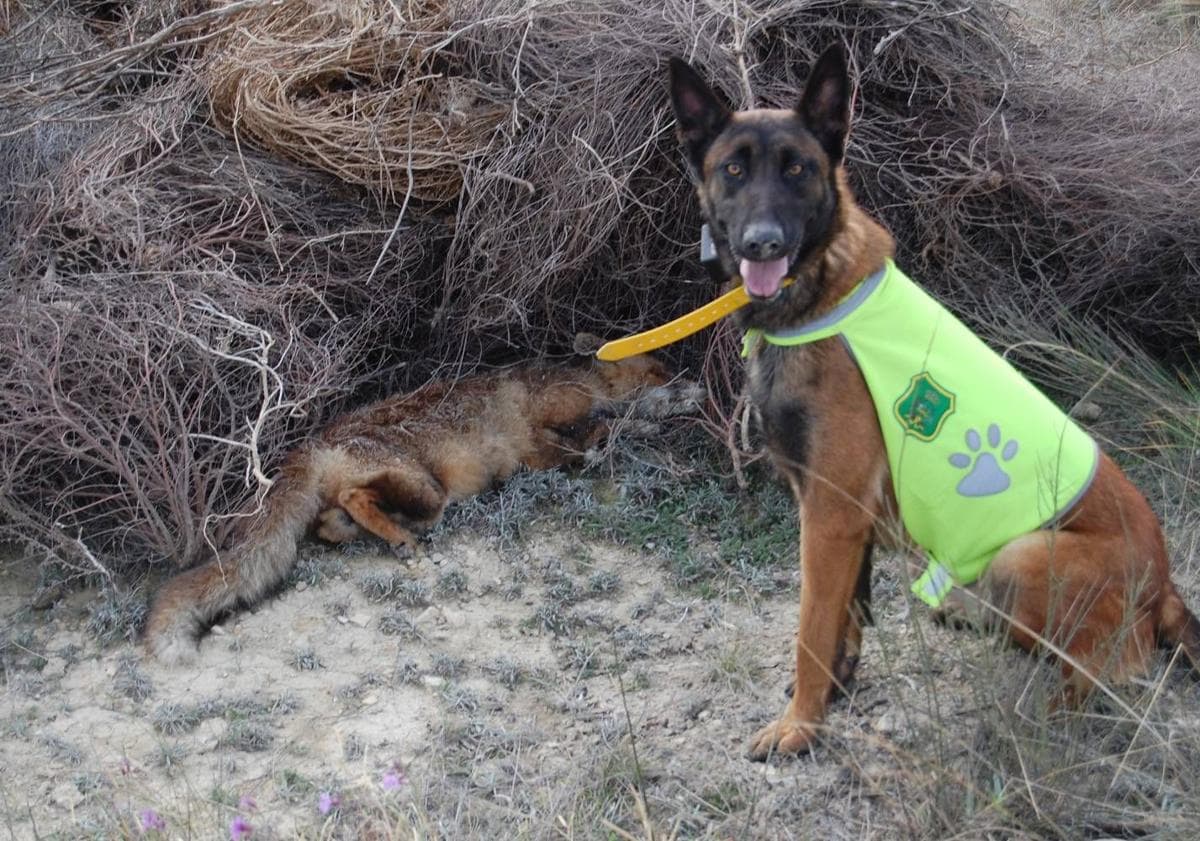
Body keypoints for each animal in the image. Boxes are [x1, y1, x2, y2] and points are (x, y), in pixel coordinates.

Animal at [142, 350, 686, 667]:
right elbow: (591, 436)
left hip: (394, 493)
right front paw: (620, 433)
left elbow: (601, 433)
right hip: (426, 489)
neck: (582, 384)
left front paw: (631, 430)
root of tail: (314, 443)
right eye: (661, 369)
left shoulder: (540, 445)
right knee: (361, 501)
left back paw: (369, 533)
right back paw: (402, 539)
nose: (692, 379)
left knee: (328, 523)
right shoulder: (538, 437)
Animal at [667, 42, 1200, 758]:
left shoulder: (829, 514)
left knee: (1100, 671)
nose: (763, 243)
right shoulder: (847, 519)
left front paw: (800, 725)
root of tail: (1166, 587)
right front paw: (835, 692)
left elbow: (811, 627)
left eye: (797, 169)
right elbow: (849, 614)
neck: (819, 293)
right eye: (733, 169)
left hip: (1022, 554)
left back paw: (1043, 715)